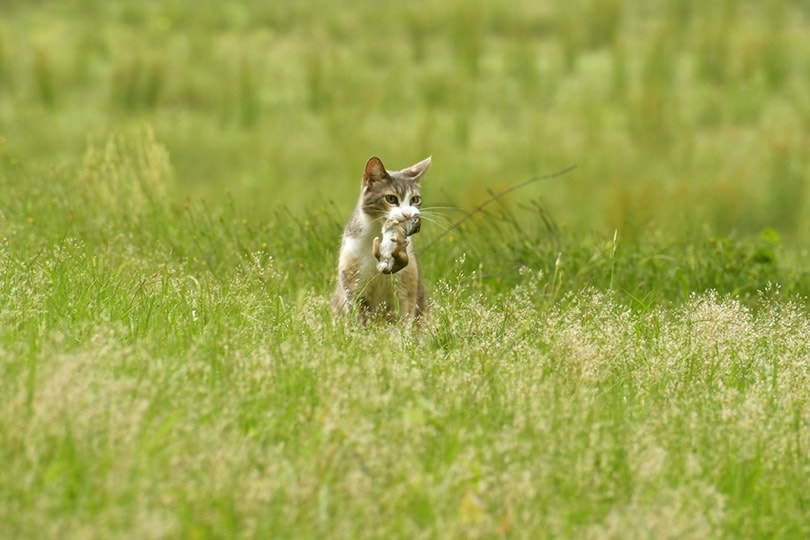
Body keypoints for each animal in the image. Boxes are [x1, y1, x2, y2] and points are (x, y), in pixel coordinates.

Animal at [330, 154, 430, 322]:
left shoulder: (407, 284)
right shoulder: (353, 281)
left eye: (415, 199)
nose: (408, 215)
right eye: (391, 198)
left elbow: (406, 313)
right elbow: (360, 317)